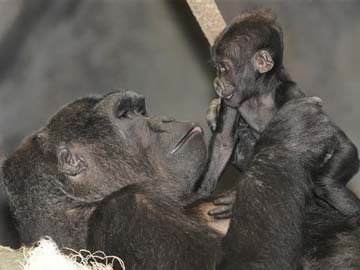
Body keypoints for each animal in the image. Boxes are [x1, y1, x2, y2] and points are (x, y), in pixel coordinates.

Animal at [2, 91, 360, 270]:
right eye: (127, 116)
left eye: (141, 111)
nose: (164, 119)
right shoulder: (125, 211)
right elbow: (247, 265)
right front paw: (290, 136)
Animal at [200, 11, 360, 217]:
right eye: (217, 68)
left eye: (223, 69)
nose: (217, 83)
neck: (259, 94)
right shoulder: (230, 102)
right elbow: (224, 142)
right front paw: (199, 191)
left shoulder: (291, 95)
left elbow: (328, 139)